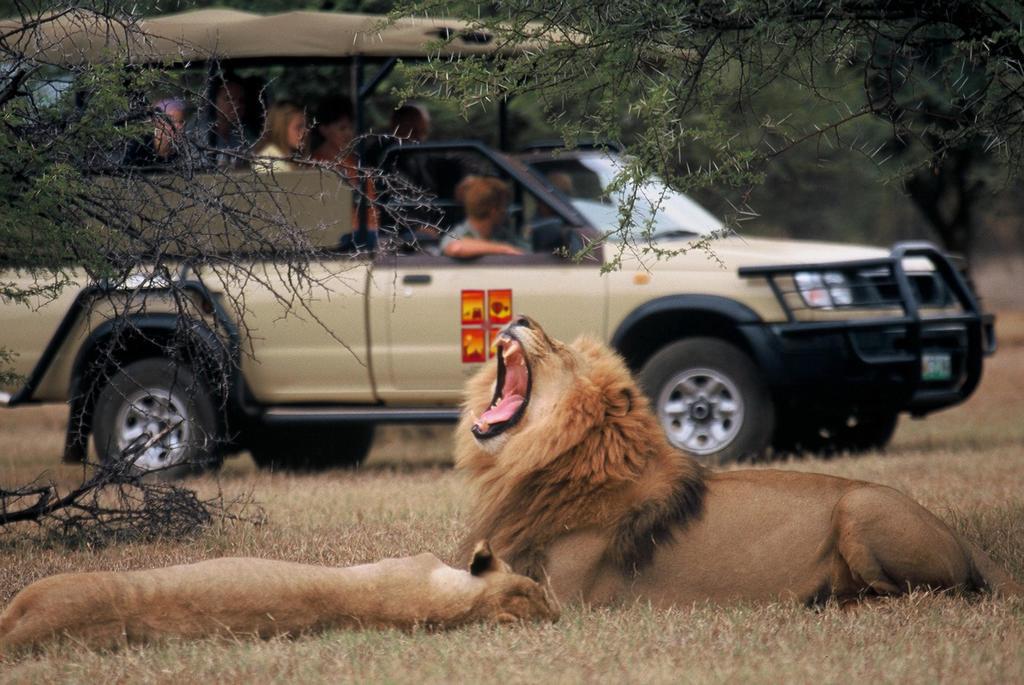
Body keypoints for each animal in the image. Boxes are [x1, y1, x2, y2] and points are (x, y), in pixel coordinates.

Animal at [458, 315, 1024, 602]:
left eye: (557, 349)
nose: (520, 317)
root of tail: (964, 537)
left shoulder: (569, 599)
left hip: (861, 506)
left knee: (924, 593)